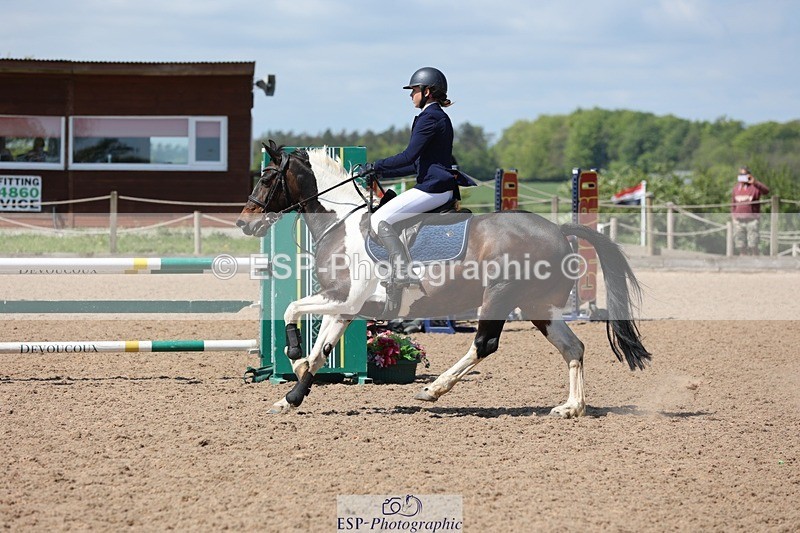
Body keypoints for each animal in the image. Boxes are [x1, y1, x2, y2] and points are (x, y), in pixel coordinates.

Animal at [237, 142, 651, 415]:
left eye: (267, 177)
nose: (245, 224)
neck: (341, 224)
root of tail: (558, 229)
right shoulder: (345, 306)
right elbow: (320, 351)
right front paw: (291, 396)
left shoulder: (344, 297)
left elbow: (292, 311)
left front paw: (292, 358)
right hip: (537, 306)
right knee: (573, 347)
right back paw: (571, 407)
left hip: (500, 296)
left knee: (484, 344)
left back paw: (432, 391)